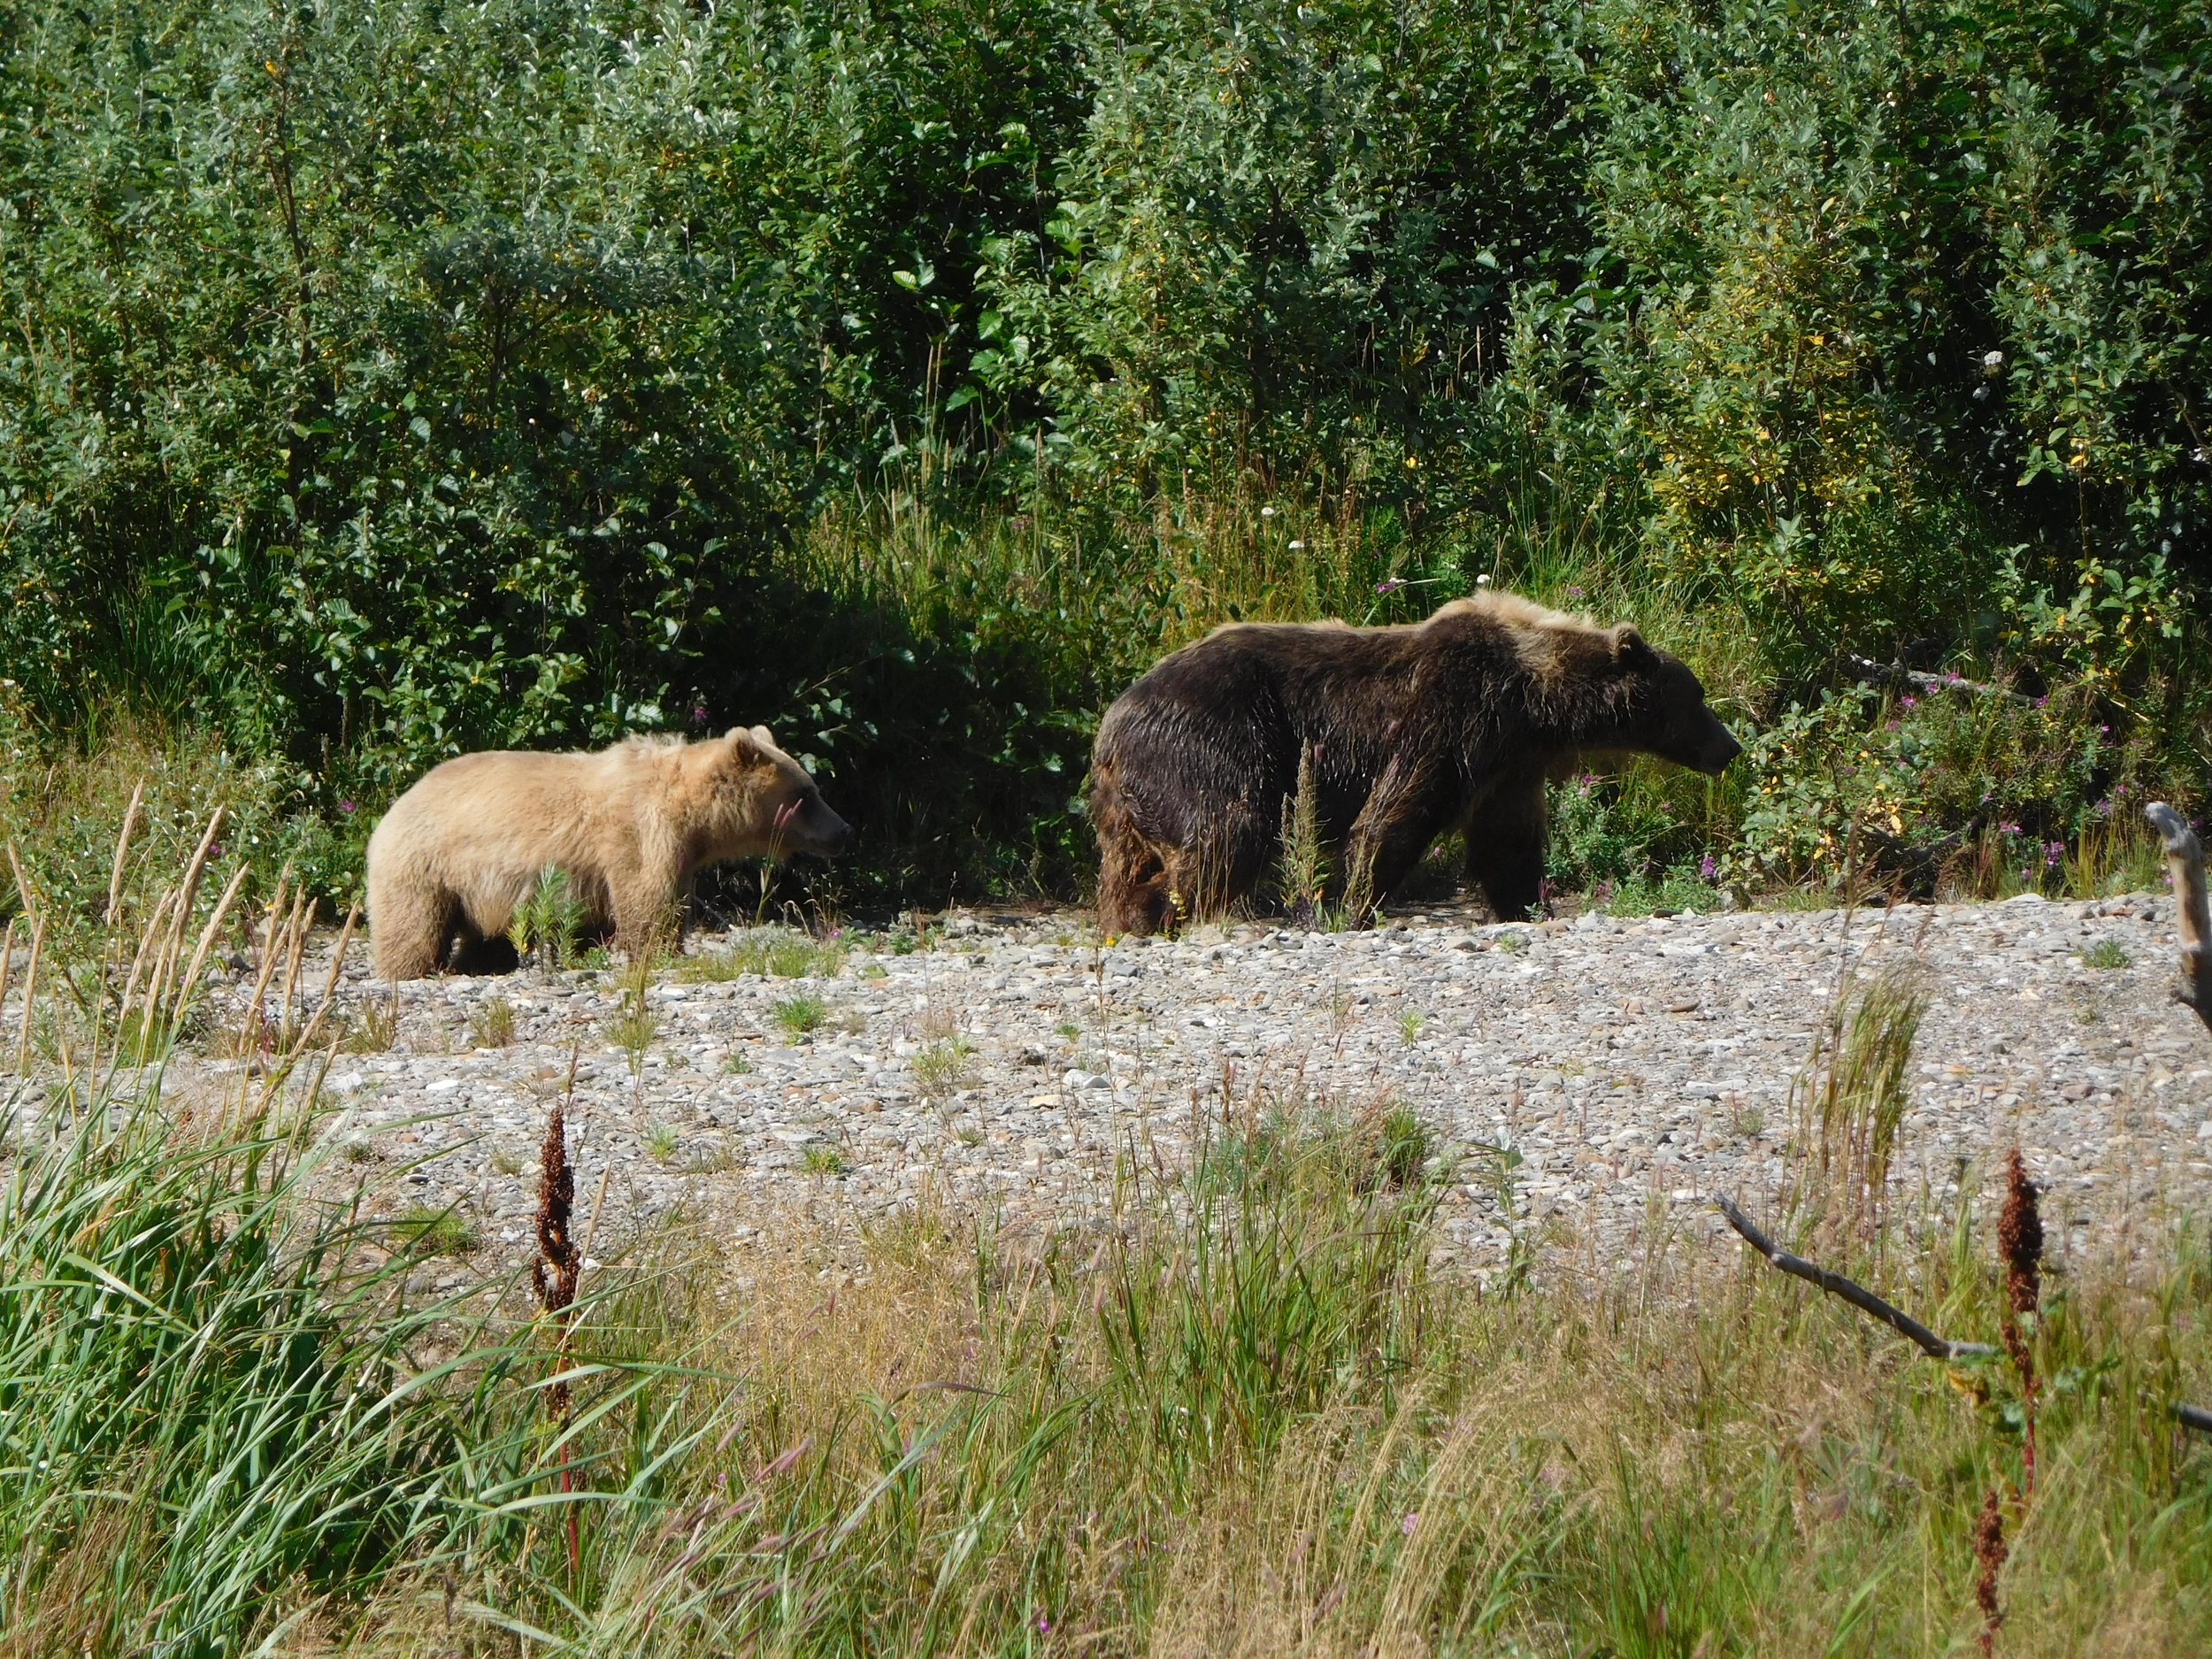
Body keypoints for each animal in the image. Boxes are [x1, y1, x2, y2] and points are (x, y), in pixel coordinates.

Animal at [366, 727, 852, 979]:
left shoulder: (679, 853)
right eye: (807, 793)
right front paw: (661, 951)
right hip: (426, 865)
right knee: (413, 926)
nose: (844, 830)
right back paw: (412, 969)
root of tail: (394, 805)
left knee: (487, 932)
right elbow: (646, 901)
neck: (692, 815)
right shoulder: (640, 835)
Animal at [1088, 591, 1741, 935]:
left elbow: (1507, 843)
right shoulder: (1454, 713)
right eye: (1698, 697)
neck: (1537, 698)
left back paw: (1127, 915)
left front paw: (1529, 905)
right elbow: (1398, 813)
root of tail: (1111, 721)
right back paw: (1172, 910)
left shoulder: (1509, 762)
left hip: (1132, 795)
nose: (1731, 747)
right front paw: (1353, 903)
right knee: (1230, 828)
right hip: (1214, 740)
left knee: (1132, 857)